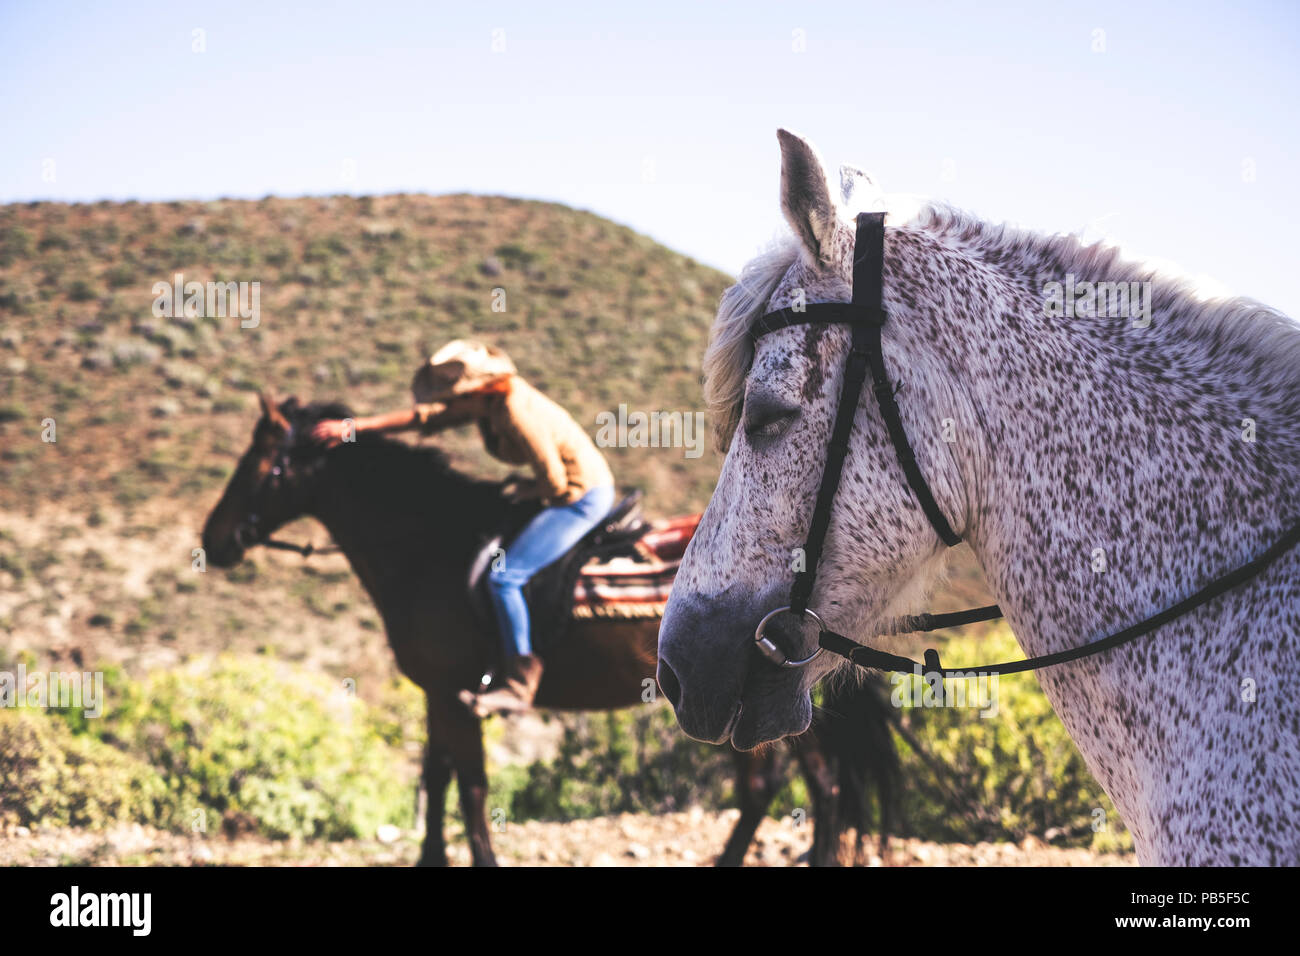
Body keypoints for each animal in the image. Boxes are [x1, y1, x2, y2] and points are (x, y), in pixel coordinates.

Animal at [200, 392, 899, 865]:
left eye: (267, 466)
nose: (215, 540)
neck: (431, 547)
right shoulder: (437, 694)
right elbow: (437, 778)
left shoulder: (458, 696)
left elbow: (471, 788)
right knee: (792, 788)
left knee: (795, 787)